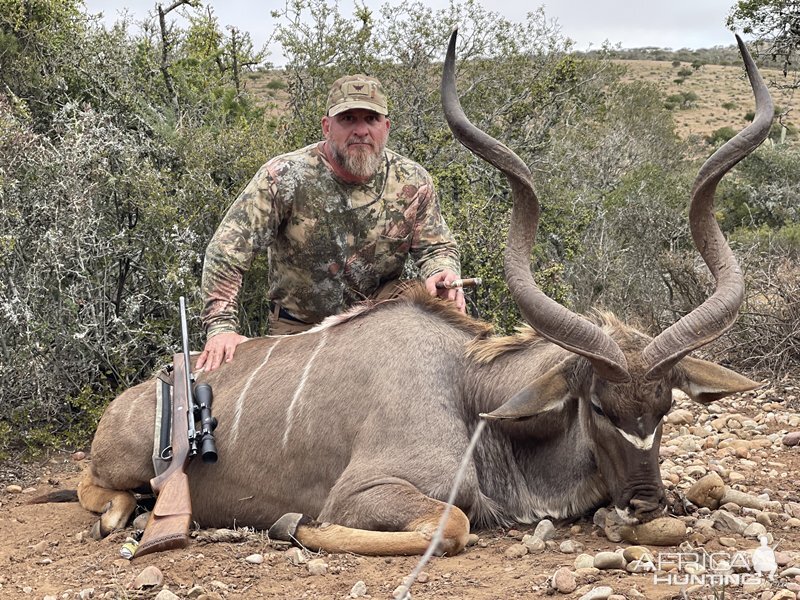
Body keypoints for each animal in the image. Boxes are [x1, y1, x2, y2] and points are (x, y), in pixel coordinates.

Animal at [78, 32, 772, 556]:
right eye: (599, 407)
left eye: (666, 408)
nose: (645, 501)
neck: (471, 392)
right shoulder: (367, 492)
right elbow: (453, 523)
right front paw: (295, 524)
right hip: (121, 463)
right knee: (96, 489)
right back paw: (126, 514)